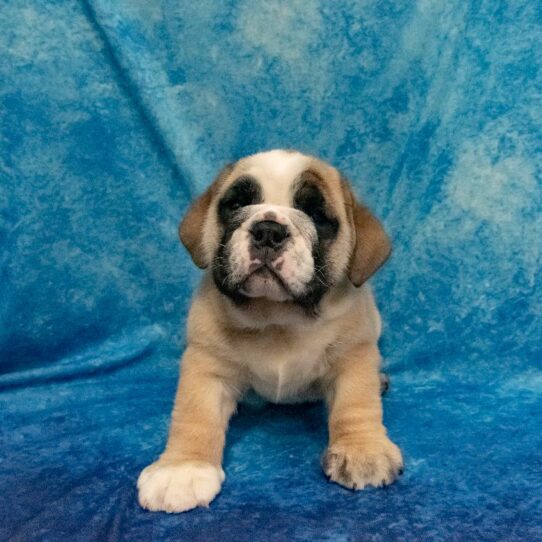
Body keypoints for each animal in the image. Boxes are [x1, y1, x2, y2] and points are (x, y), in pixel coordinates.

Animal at [138, 150, 404, 516]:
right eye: (236, 205)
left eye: (316, 216)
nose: (268, 230)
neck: (277, 318)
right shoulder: (206, 364)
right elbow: (194, 413)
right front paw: (181, 469)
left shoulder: (354, 356)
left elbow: (356, 403)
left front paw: (362, 449)